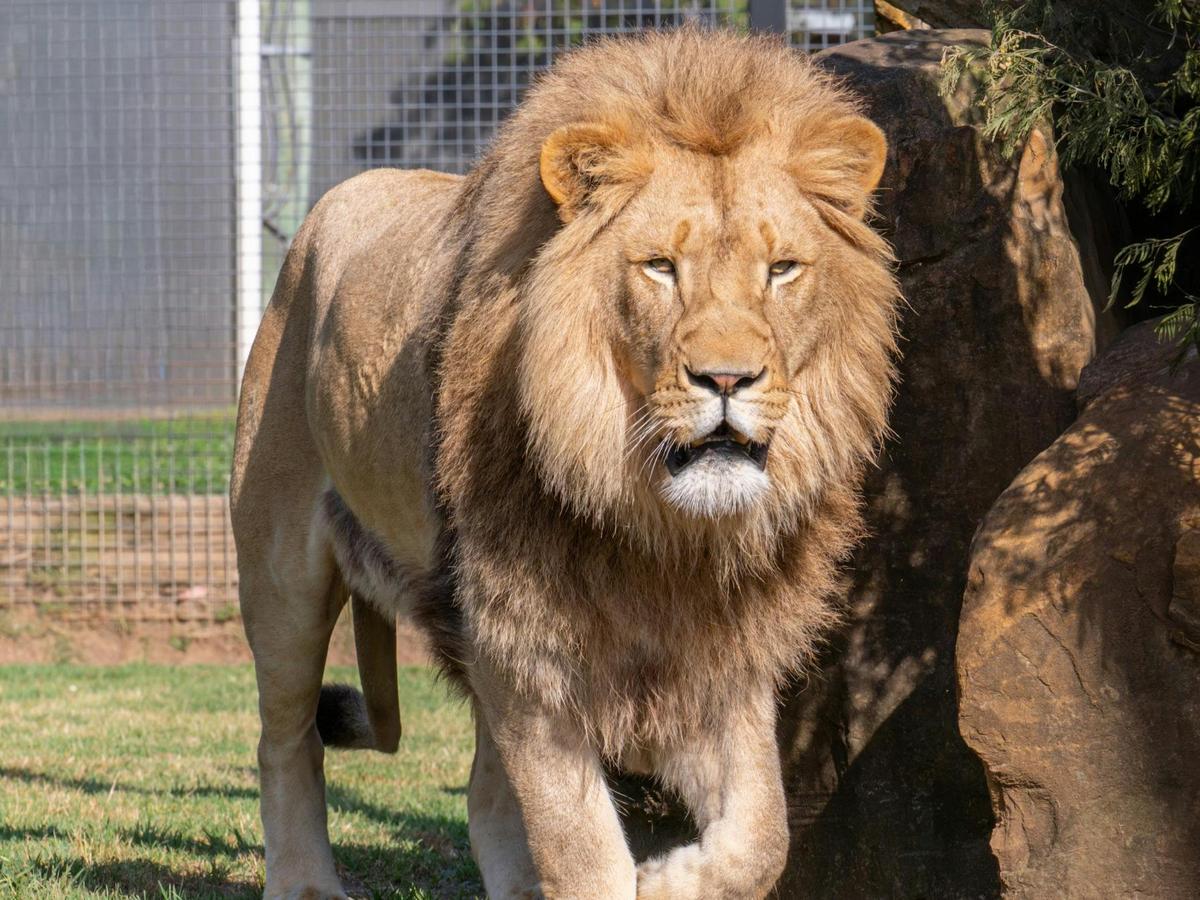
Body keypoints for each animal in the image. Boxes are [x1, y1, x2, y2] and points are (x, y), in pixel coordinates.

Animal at [230, 26, 898, 900]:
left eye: (781, 269)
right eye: (659, 267)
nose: (727, 380)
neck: (659, 525)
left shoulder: (722, 649)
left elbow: (762, 837)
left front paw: (670, 879)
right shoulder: (525, 642)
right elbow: (581, 851)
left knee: (483, 794)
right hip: (280, 571)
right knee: (286, 740)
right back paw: (305, 880)